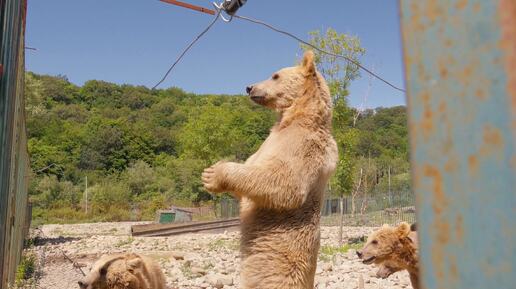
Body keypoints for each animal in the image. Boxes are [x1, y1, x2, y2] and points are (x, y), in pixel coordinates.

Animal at [202, 50, 338, 286]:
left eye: (275, 75)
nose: (249, 87)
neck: (296, 117)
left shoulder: (302, 146)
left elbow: (284, 182)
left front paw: (214, 174)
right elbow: (252, 167)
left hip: (274, 264)